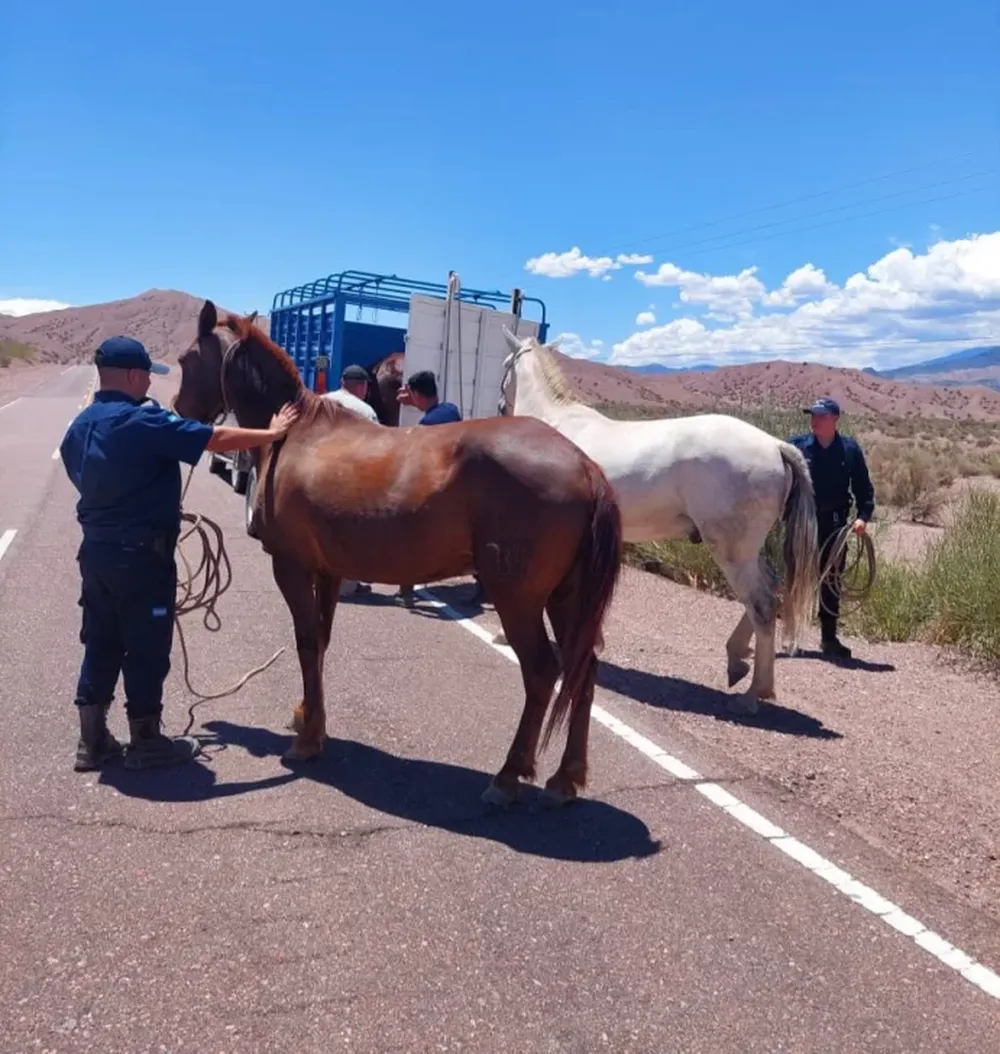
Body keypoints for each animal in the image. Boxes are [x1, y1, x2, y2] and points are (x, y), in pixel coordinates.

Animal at [173, 301, 625, 807]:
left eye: (186, 359)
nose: (178, 412)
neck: (295, 432)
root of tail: (584, 466)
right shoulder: (328, 571)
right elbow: (321, 642)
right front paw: (310, 718)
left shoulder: (291, 565)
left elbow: (306, 642)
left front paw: (307, 741)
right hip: (567, 598)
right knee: (582, 670)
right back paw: (565, 779)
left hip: (519, 600)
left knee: (543, 671)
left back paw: (508, 777)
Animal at [497, 328, 820, 716]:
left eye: (505, 364)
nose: (500, 407)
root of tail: (775, 445)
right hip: (747, 551)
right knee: (768, 592)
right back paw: (738, 660)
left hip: (732, 552)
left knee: (762, 604)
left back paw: (754, 694)